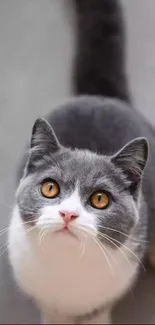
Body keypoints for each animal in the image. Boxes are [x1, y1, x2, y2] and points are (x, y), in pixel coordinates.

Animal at [7, 0, 155, 324]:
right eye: (50, 188)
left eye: (100, 199)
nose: (68, 214)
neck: (68, 268)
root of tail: (99, 95)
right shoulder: (44, 295)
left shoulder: (108, 292)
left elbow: (96, 313)